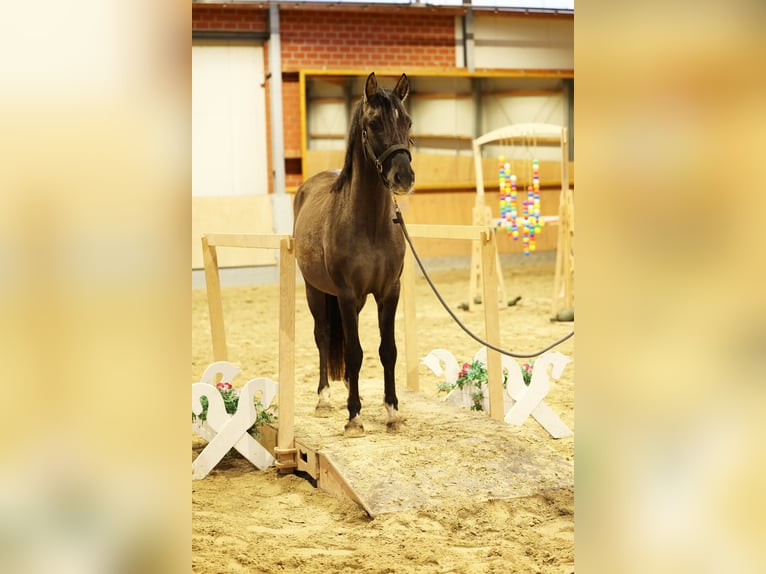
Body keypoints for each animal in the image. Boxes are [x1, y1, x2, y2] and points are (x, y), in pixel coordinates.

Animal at [292, 72, 414, 437]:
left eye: (408, 121)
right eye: (373, 123)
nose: (403, 178)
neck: (370, 224)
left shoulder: (388, 292)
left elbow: (387, 351)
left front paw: (392, 412)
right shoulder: (345, 294)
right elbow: (355, 350)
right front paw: (354, 417)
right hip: (316, 291)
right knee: (324, 336)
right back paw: (325, 399)